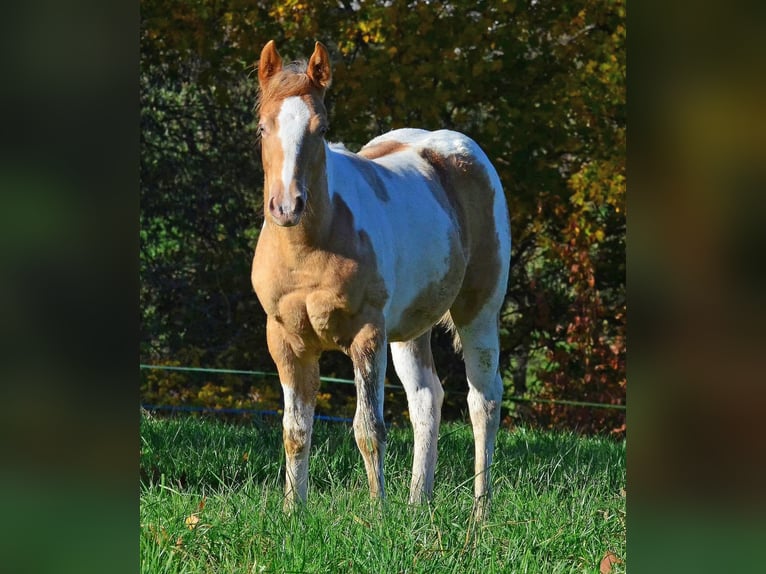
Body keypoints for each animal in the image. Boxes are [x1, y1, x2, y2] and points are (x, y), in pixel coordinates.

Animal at [251, 40, 511, 518]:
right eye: (263, 127)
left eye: (320, 128)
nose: (287, 206)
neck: (307, 251)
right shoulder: (286, 341)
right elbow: (295, 431)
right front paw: (293, 512)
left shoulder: (367, 335)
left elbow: (368, 430)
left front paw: (377, 513)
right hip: (409, 328)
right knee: (427, 399)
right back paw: (417, 502)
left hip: (478, 312)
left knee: (483, 401)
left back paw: (480, 513)